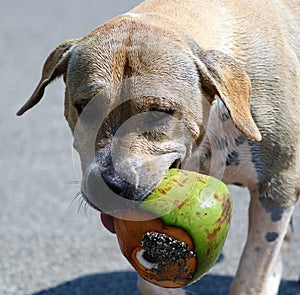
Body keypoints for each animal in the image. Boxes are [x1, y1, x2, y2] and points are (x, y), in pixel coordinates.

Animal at [17, 0, 298, 295]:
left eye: (159, 112)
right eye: (85, 108)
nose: (109, 184)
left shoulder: (276, 189)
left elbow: (252, 275)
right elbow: (149, 278)